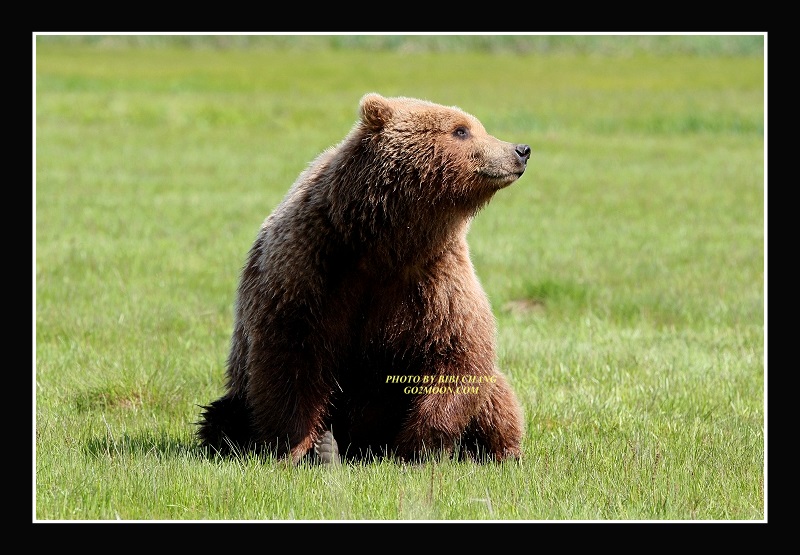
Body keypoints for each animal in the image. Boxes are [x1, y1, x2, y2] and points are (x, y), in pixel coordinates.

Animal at [196, 92, 532, 464]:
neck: (385, 244)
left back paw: (498, 451)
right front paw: (302, 446)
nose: (520, 150)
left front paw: (417, 447)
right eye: (461, 130)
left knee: (496, 394)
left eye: (476, 126)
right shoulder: (312, 269)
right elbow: (290, 356)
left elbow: (459, 355)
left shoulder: (436, 280)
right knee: (223, 415)